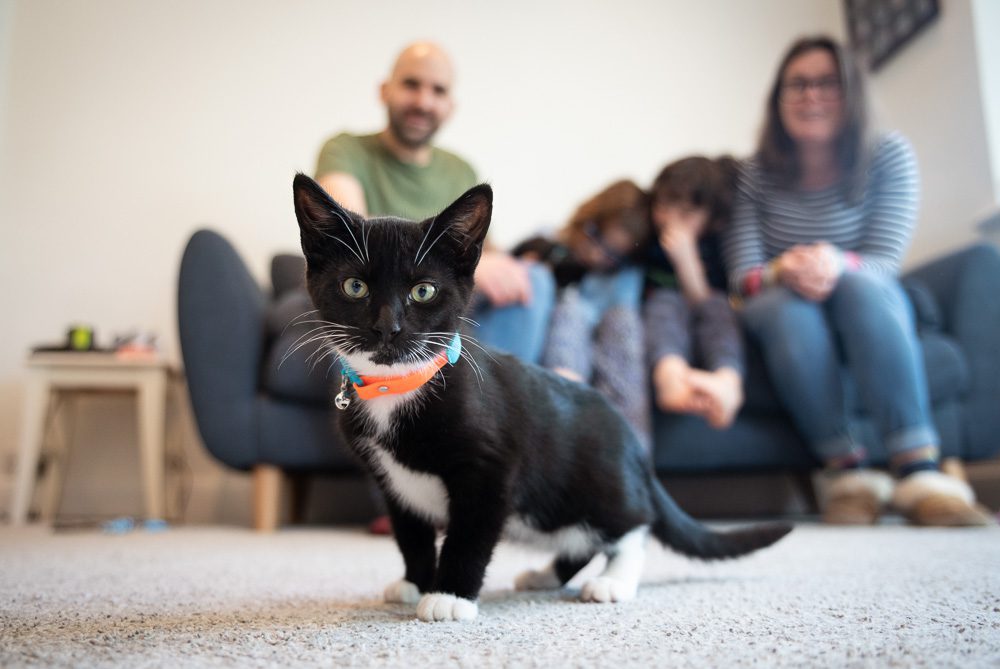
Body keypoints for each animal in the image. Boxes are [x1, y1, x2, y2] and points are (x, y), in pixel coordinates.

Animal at [292, 174, 792, 620]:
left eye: (423, 291)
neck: (395, 387)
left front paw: (449, 596)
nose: (387, 328)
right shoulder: (393, 483)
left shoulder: (491, 469)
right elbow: (410, 535)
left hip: (596, 487)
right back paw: (546, 574)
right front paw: (415, 581)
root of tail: (634, 449)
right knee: (582, 542)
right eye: (354, 286)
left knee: (634, 525)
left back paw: (613, 581)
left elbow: (469, 535)